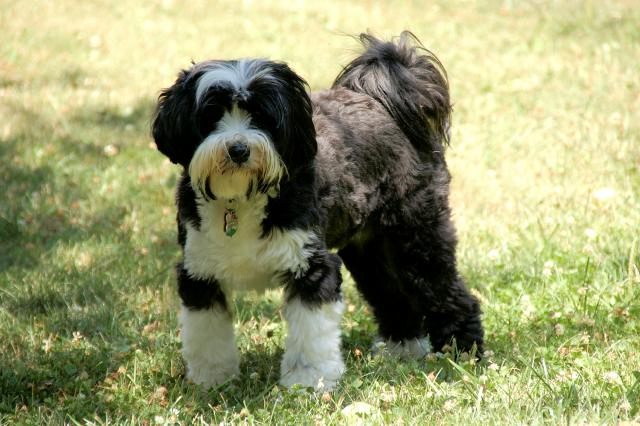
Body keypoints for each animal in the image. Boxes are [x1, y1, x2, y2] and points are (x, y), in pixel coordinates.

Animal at [152, 31, 482, 392]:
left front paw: (308, 382)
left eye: (263, 116)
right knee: (391, 294)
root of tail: (385, 101)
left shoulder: (311, 268)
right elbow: (206, 335)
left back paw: (463, 353)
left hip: (416, 234)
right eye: (211, 115)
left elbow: (311, 334)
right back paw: (403, 347)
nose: (238, 149)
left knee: (447, 291)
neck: (241, 197)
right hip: (369, 251)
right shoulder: (199, 272)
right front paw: (212, 380)